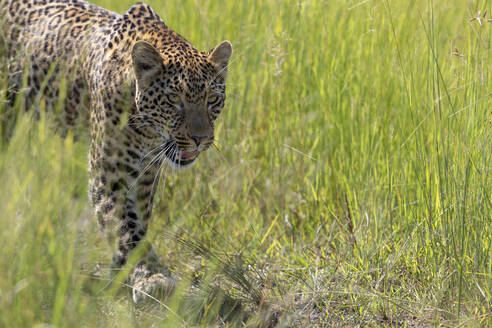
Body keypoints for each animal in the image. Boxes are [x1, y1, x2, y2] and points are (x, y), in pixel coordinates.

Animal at [0, 0, 232, 304]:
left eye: (212, 99)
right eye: (174, 99)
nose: (200, 139)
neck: (147, 131)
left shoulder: (145, 177)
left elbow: (136, 222)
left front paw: (124, 272)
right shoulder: (109, 177)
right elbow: (128, 230)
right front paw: (151, 277)